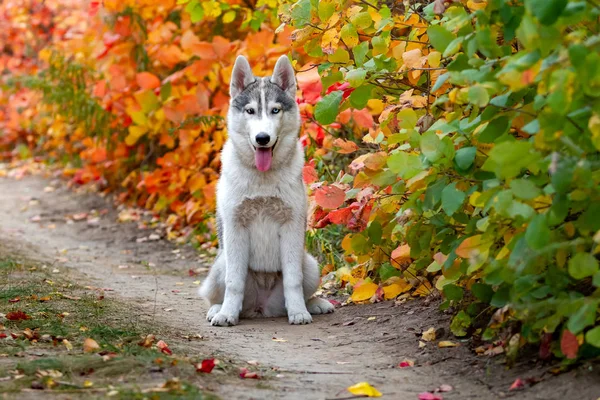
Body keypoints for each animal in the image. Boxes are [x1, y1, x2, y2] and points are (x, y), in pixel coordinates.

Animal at [199, 54, 336, 326]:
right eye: (250, 110)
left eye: (275, 110)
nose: (262, 138)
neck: (262, 179)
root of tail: (261, 308)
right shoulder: (235, 226)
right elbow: (234, 283)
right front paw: (227, 315)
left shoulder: (291, 225)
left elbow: (293, 281)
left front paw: (299, 312)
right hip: (221, 264)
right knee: (217, 294)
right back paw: (218, 310)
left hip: (310, 264)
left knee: (302, 289)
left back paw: (314, 304)